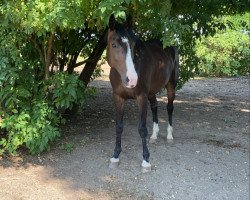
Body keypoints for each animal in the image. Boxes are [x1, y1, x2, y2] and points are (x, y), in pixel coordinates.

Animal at [106, 15, 179, 173]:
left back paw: (169, 135)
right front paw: (115, 156)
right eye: (114, 44)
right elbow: (119, 127)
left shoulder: (141, 97)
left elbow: (142, 128)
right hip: (151, 91)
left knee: (170, 108)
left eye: (133, 46)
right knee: (155, 106)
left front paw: (146, 160)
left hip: (171, 85)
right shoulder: (118, 98)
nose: (132, 79)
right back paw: (154, 135)